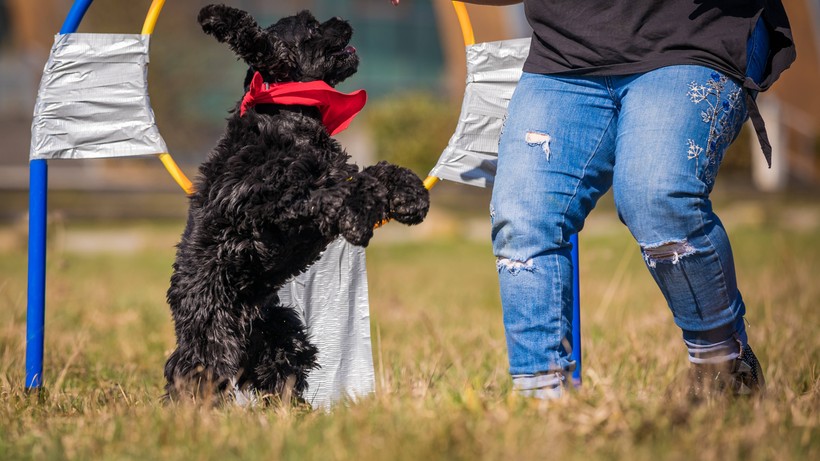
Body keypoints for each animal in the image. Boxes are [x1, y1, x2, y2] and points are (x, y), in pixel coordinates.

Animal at [162, 5, 430, 404]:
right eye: (310, 26)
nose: (343, 21)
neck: (285, 112)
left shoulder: (336, 170)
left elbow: (380, 172)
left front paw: (412, 197)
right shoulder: (271, 202)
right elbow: (340, 192)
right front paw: (356, 218)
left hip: (279, 334)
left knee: (282, 373)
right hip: (213, 338)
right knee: (191, 378)